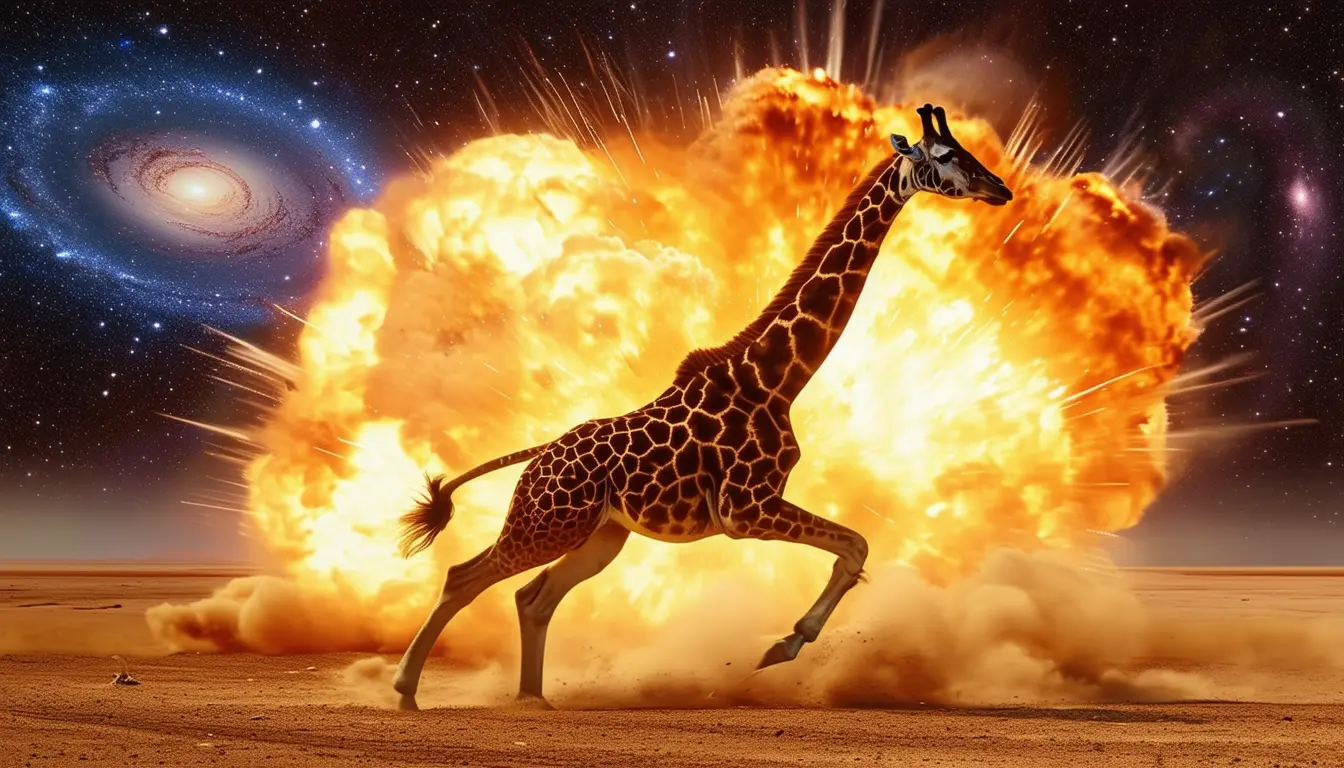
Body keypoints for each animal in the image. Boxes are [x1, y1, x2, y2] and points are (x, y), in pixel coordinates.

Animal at [392, 103, 1013, 710]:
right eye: (945, 155)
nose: (1000, 188)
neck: (777, 380)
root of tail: (539, 457)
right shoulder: (747, 510)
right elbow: (855, 544)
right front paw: (781, 646)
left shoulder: (749, 509)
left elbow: (853, 548)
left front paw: (784, 645)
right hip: (547, 524)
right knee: (463, 577)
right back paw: (407, 693)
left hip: (600, 536)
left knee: (533, 596)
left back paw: (532, 699)